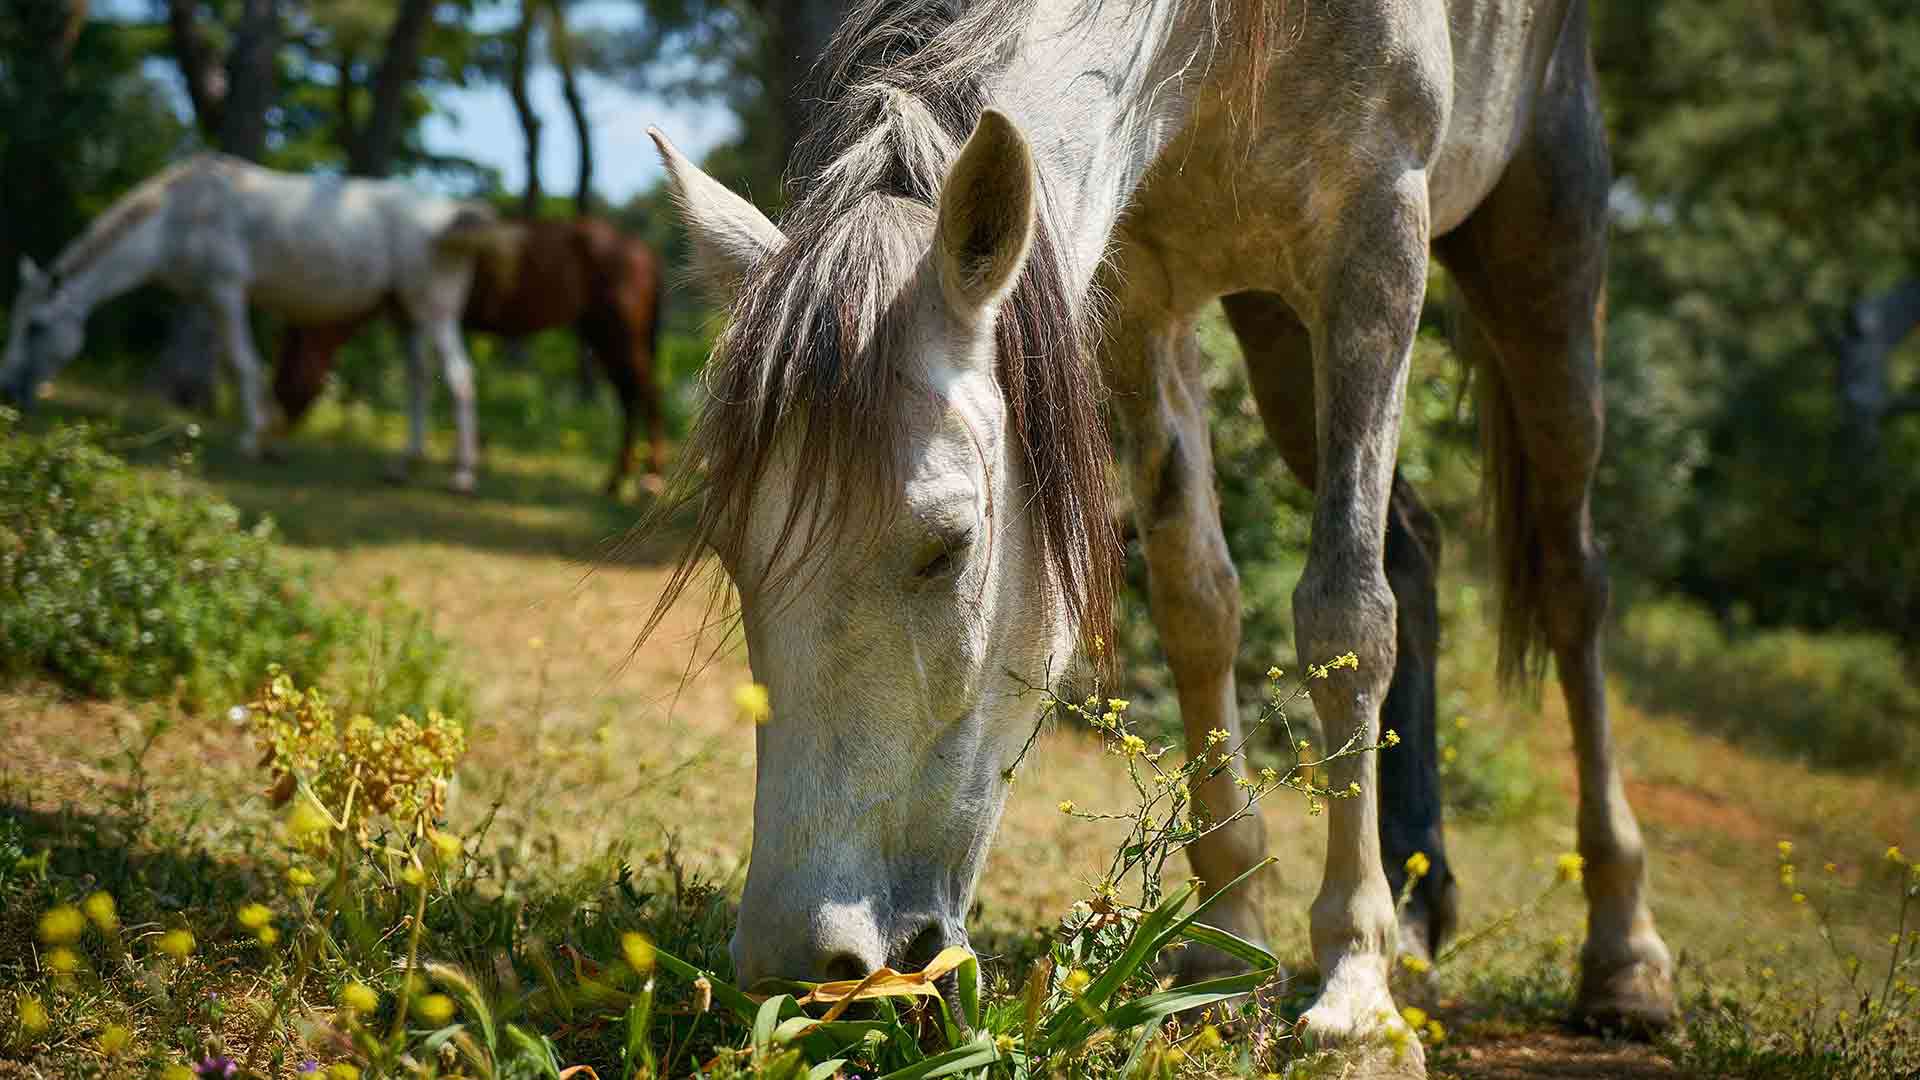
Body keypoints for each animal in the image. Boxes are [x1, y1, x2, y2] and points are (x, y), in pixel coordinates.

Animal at [1, 151, 495, 488]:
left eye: (36, 326)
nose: (7, 391)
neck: (174, 218)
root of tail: (448, 215)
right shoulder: (208, 300)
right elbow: (233, 362)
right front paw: (269, 434)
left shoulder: (227, 288)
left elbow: (243, 362)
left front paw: (251, 441)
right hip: (404, 313)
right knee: (420, 379)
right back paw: (405, 463)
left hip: (433, 310)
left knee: (460, 377)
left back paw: (463, 476)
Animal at [278, 216, 668, 495]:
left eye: (283, 376)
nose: (275, 444)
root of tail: (644, 250)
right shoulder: (412, 324)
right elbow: (418, 380)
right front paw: (407, 464)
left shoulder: (430, 318)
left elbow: (438, 379)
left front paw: (457, 471)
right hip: (599, 334)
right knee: (629, 398)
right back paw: (614, 481)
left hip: (620, 333)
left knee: (648, 394)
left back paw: (650, 480)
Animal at [645, 0, 1666, 1060]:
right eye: (729, 548)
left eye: (947, 548)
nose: (796, 964)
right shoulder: (1142, 292)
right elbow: (1196, 604)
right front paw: (1224, 943)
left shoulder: (1379, 240)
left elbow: (1344, 616)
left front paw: (1357, 1002)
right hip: (1280, 339)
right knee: (1414, 548)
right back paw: (1422, 912)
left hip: (1545, 252)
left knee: (1570, 583)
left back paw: (1623, 953)